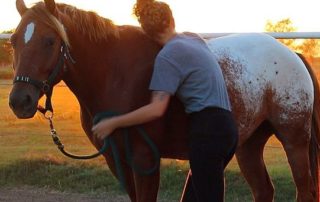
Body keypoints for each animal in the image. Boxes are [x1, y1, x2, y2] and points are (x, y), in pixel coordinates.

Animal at [8, 0, 318, 201]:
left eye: (49, 41)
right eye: (13, 41)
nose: (19, 101)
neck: (116, 73)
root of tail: (292, 54)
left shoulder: (146, 160)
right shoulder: (118, 162)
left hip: (294, 140)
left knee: (305, 190)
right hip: (248, 145)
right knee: (264, 190)